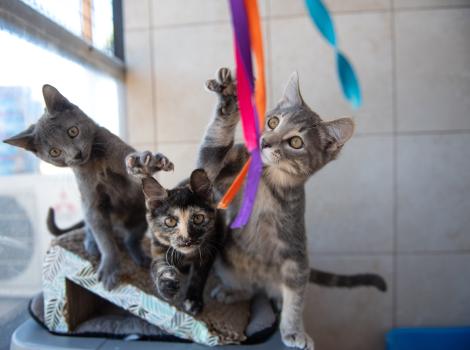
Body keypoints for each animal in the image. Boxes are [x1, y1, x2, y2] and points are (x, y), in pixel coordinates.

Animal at [2, 85, 174, 290]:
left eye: (73, 131)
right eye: (55, 152)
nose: (76, 154)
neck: (94, 162)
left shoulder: (119, 154)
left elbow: (132, 167)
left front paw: (145, 162)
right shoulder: (91, 203)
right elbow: (104, 240)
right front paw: (109, 268)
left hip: (141, 212)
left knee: (131, 238)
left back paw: (140, 256)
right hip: (86, 209)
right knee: (91, 229)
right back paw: (91, 245)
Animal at [126, 152, 223, 316]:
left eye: (198, 218)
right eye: (170, 221)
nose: (186, 239)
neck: (186, 255)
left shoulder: (209, 249)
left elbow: (198, 277)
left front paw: (193, 300)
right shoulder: (158, 246)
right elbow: (158, 266)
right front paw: (167, 285)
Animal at [199, 68, 386, 350]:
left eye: (296, 142)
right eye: (273, 122)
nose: (265, 142)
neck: (267, 181)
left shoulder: (296, 255)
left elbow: (296, 300)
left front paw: (294, 331)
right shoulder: (218, 172)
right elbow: (208, 158)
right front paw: (228, 102)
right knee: (247, 288)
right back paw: (233, 290)